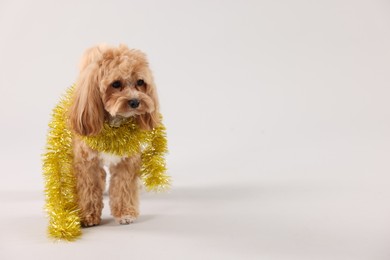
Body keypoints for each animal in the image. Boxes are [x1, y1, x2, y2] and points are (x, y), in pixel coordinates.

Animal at [68, 44, 161, 228]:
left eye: (140, 82)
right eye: (116, 84)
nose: (135, 102)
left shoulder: (126, 161)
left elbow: (123, 188)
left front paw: (125, 213)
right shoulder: (87, 163)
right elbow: (88, 190)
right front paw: (88, 216)